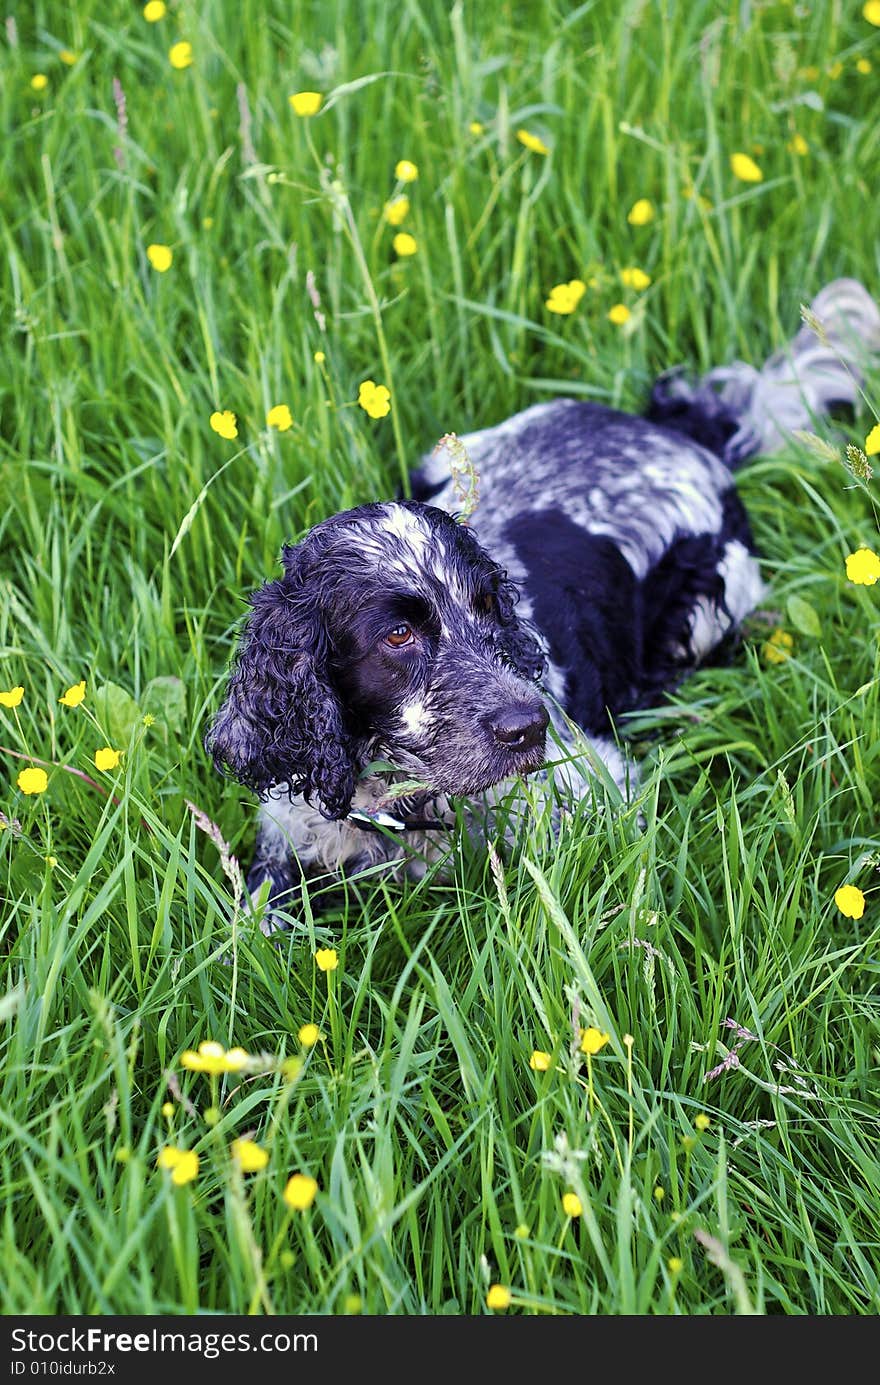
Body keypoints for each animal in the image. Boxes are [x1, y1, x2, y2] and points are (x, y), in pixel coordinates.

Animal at [205, 278, 880, 930]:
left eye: (486, 605)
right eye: (397, 636)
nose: (529, 727)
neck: (410, 798)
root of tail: (679, 432)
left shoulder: (599, 791)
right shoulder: (286, 834)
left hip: (705, 606)